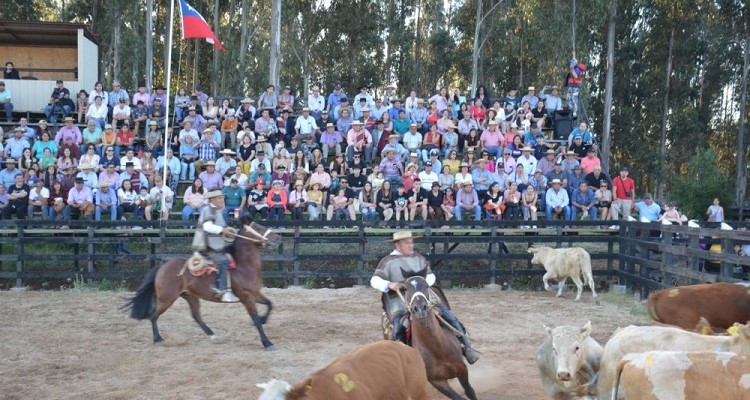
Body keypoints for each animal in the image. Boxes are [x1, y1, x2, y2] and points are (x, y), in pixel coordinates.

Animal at [123, 220, 282, 348]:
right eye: (259, 228)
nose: (279, 238)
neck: (244, 266)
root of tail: (161, 267)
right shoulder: (246, 297)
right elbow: (256, 319)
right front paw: (267, 342)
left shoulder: (256, 294)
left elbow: (270, 304)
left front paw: (264, 320)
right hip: (167, 299)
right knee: (153, 315)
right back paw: (158, 339)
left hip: (190, 296)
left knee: (196, 316)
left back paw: (213, 335)